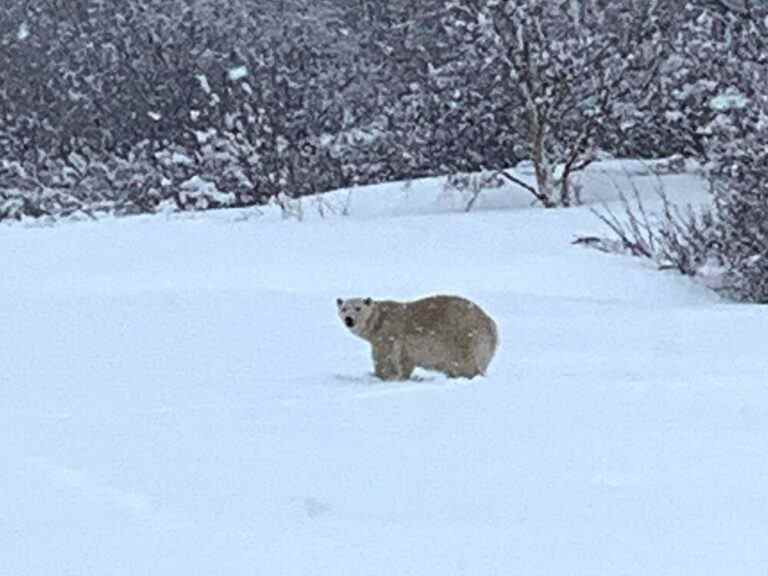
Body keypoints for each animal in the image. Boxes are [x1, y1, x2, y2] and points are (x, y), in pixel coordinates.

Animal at [336, 294, 498, 380]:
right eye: (344, 308)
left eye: (358, 308)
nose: (349, 319)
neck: (379, 320)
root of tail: (490, 323)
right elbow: (405, 361)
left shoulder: (388, 334)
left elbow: (384, 357)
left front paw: (381, 376)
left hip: (464, 336)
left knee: (464, 362)